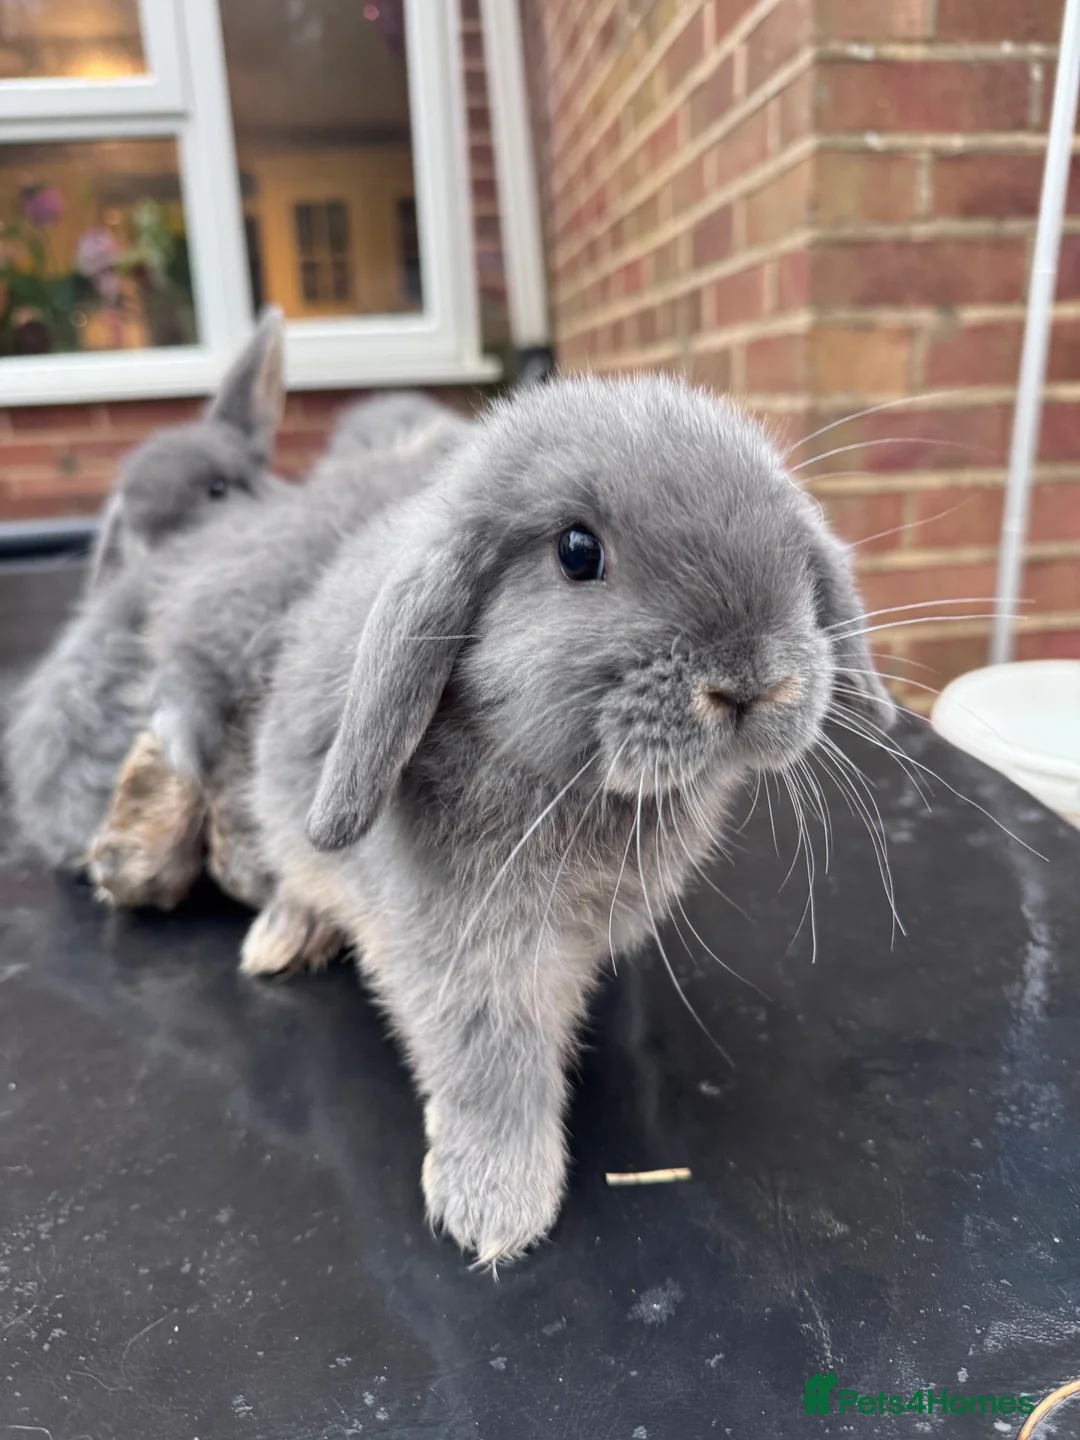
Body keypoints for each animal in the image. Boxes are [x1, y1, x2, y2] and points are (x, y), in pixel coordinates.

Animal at [242, 372, 896, 1265]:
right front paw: (496, 1207)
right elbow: (492, 1065)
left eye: (794, 545)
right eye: (577, 552)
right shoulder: (468, 952)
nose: (751, 683)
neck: (576, 789)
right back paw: (279, 940)